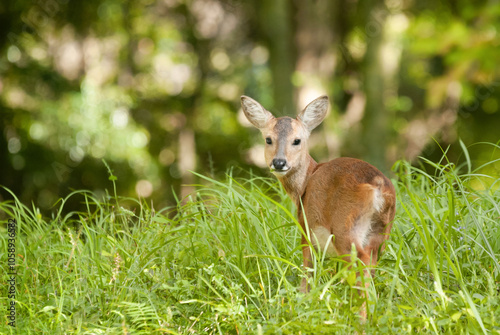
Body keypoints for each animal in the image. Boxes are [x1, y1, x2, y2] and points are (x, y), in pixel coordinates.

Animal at [240, 94, 396, 320]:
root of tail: (379, 188)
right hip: (381, 234)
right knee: (371, 267)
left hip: (345, 226)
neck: (305, 182)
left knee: (360, 262)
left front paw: (302, 301)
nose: (279, 162)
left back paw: (360, 318)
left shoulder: (306, 225)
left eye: (297, 140)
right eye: (268, 139)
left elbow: (308, 267)